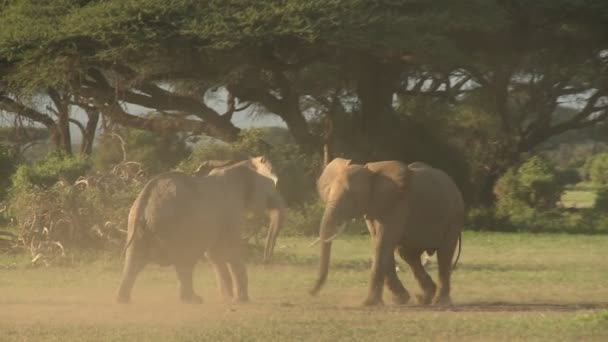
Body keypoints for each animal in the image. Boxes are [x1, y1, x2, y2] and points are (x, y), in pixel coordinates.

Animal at [117, 158, 288, 304]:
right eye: (272, 190)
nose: (265, 262)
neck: (240, 166)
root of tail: (145, 195)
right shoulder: (231, 210)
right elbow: (230, 251)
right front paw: (241, 301)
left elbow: (216, 254)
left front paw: (227, 299)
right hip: (175, 226)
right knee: (184, 261)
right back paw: (194, 300)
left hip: (136, 223)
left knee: (134, 262)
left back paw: (123, 301)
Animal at [312, 159, 464, 306]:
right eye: (327, 191)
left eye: (352, 195)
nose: (310, 292)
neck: (371, 174)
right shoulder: (373, 208)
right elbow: (381, 244)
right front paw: (400, 300)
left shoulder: (397, 204)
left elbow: (383, 243)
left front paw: (368, 304)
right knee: (408, 255)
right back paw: (424, 298)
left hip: (453, 216)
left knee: (444, 253)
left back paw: (441, 302)